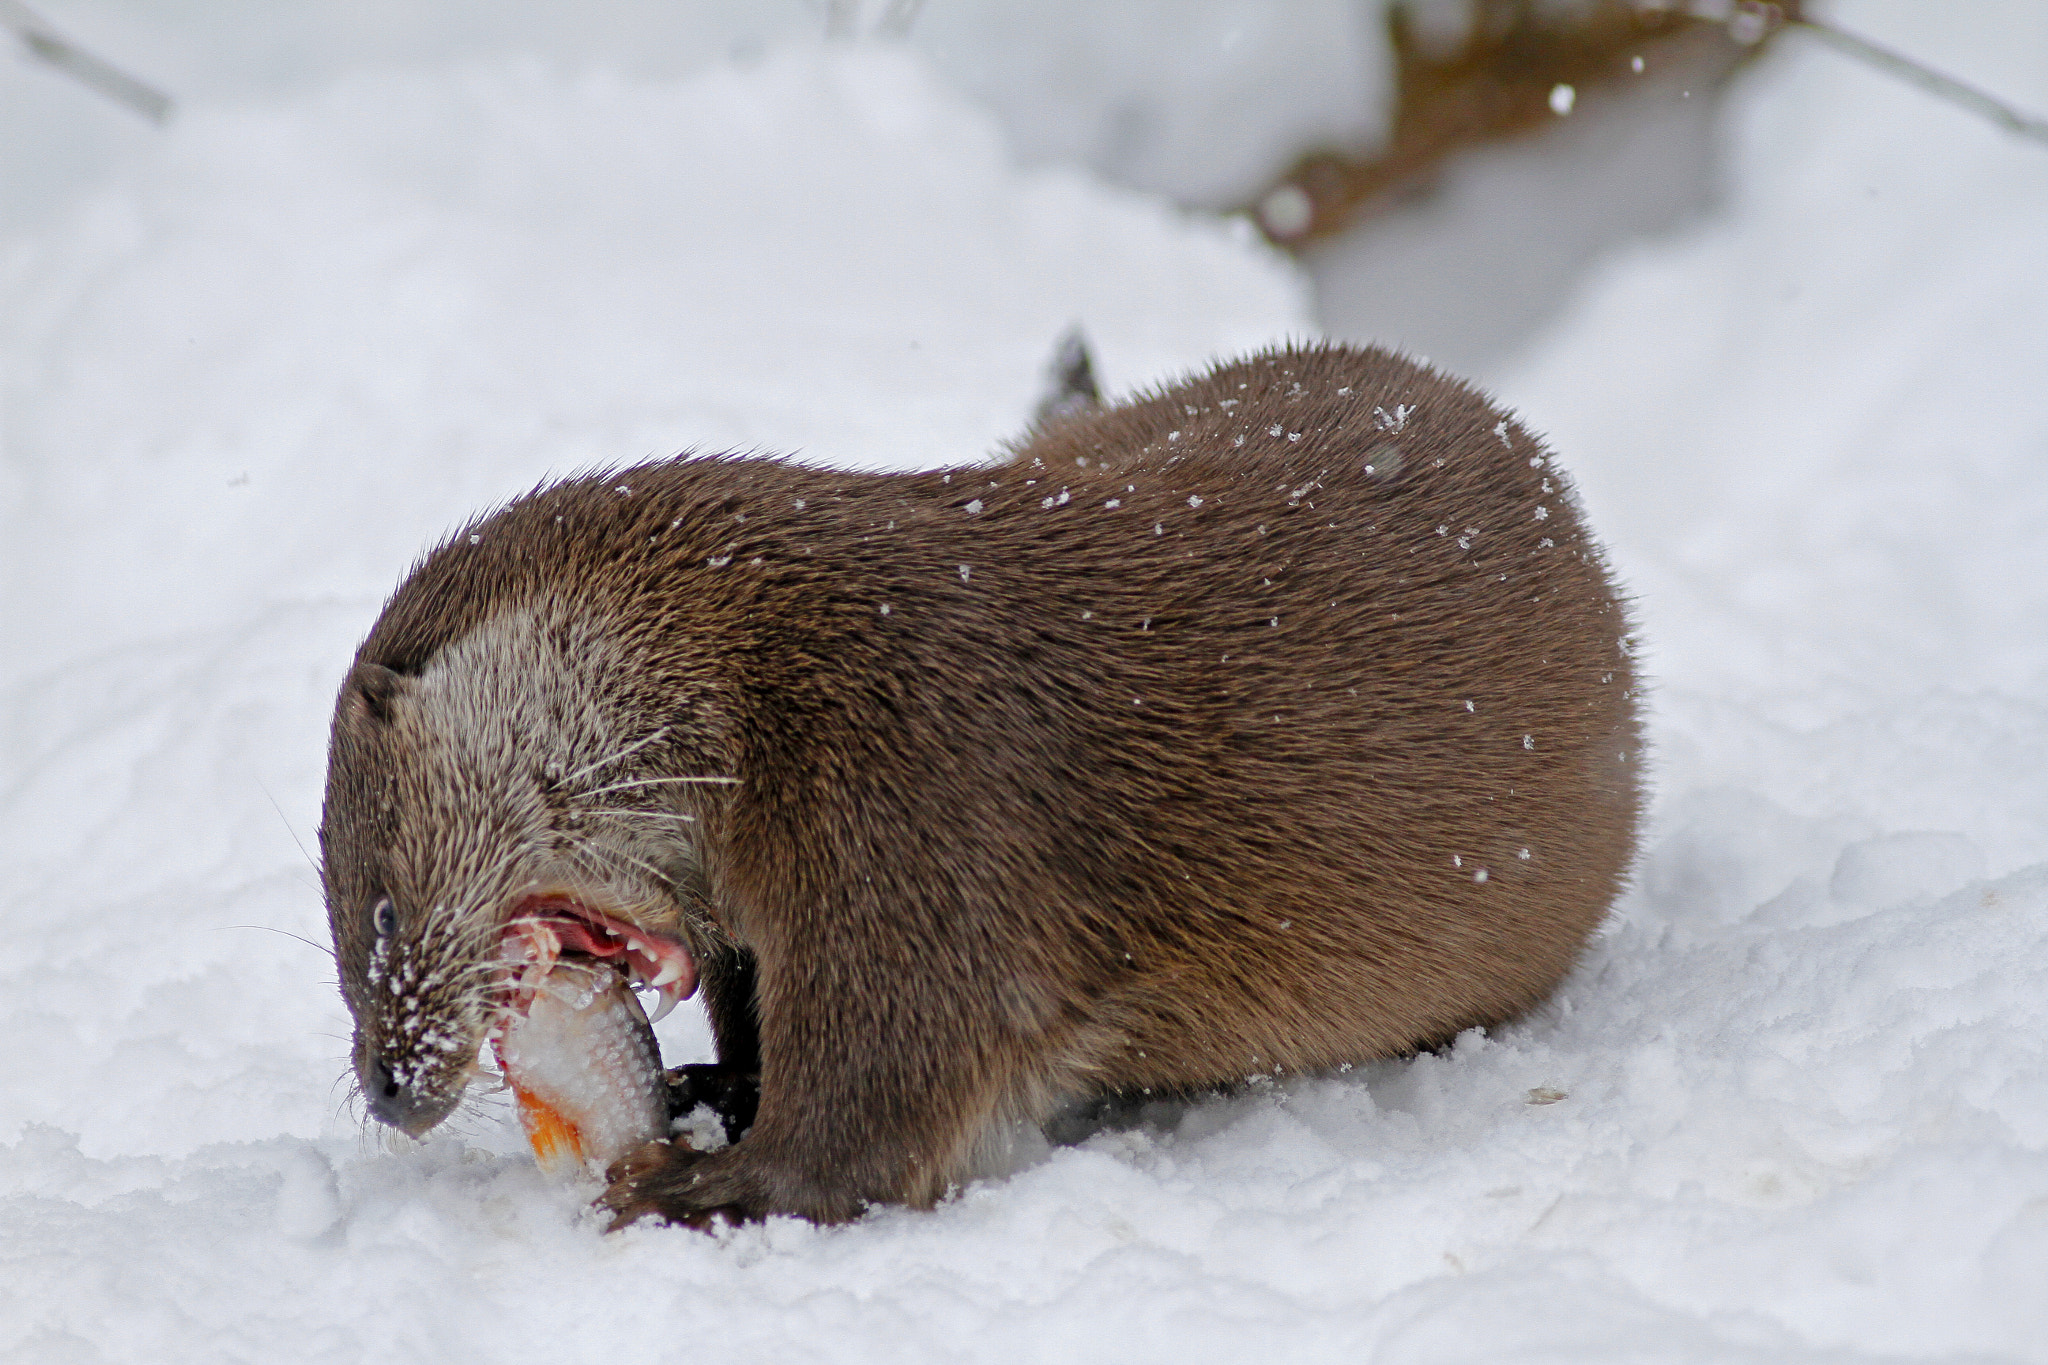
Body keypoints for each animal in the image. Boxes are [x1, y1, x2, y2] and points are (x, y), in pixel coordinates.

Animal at [319, 339, 1646, 1227]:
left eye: (377, 913)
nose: (383, 1089)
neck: (766, 673)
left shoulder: (915, 804)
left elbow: (875, 1109)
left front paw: (696, 1185)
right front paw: (707, 1087)